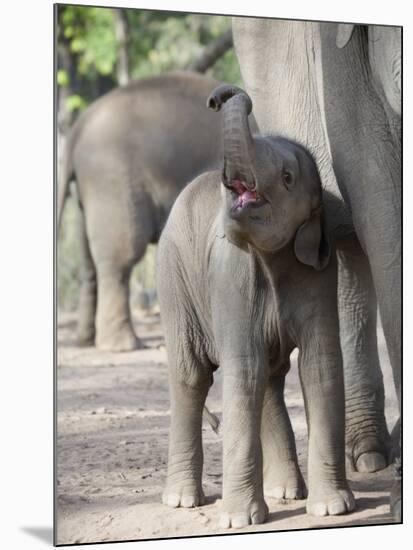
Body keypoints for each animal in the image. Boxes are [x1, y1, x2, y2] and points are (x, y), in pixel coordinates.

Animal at [56, 71, 230, 352]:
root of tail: (76, 131)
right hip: (112, 180)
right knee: (121, 257)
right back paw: (123, 346)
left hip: (88, 191)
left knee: (88, 260)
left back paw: (86, 341)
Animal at [158, 86, 354, 532]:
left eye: (287, 177)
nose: (219, 96)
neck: (273, 259)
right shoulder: (231, 277)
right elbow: (243, 367)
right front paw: (238, 521)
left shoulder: (320, 274)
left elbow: (320, 365)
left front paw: (333, 509)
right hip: (174, 280)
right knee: (192, 376)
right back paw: (182, 501)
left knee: (269, 375)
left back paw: (286, 492)